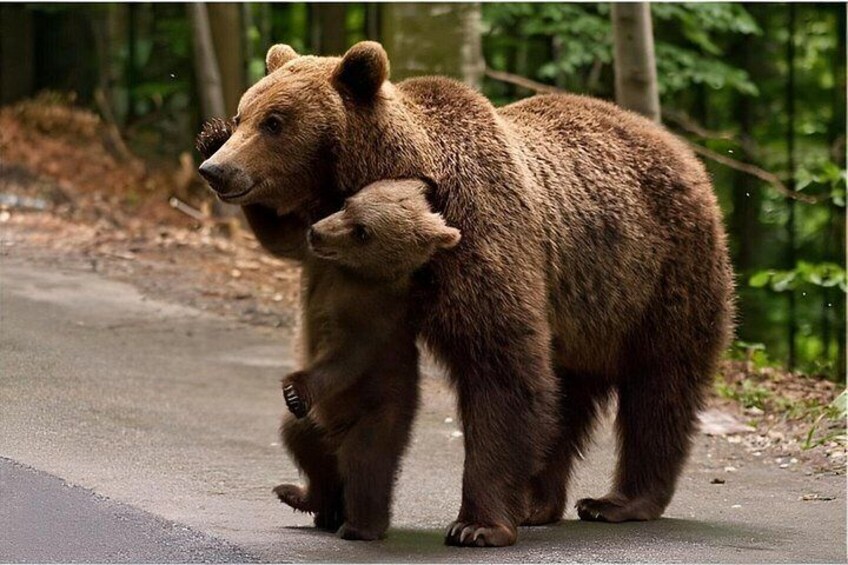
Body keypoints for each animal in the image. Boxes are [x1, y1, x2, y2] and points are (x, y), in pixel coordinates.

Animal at [274, 178, 461, 541]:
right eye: (347, 203)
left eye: (362, 232)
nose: (318, 232)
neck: (354, 272)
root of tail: (335, 433)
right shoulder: (314, 262)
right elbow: (280, 238)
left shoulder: (373, 317)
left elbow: (343, 359)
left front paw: (295, 389)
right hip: (315, 425)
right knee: (301, 441)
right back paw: (301, 496)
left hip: (378, 414)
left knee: (364, 462)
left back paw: (360, 526)